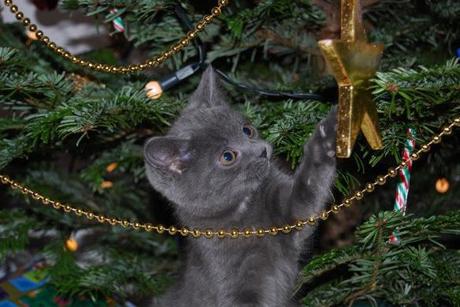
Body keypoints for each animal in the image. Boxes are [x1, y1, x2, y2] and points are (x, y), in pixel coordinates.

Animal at [146, 67, 336, 307]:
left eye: (247, 130)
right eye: (228, 156)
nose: (262, 151)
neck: (246, 214)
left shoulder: (291, 212)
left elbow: (307, 191)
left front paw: (331, 131)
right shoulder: (234, 283)